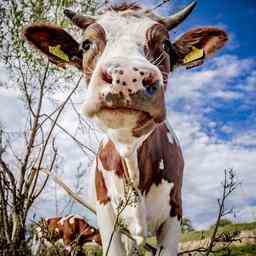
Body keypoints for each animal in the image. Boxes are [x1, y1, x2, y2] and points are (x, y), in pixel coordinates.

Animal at [24, 1, 228, 255]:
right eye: (86, 44)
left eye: (165, 44)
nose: (127, 76)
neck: (131, 158)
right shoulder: (105, 216)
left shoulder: (175, 214)